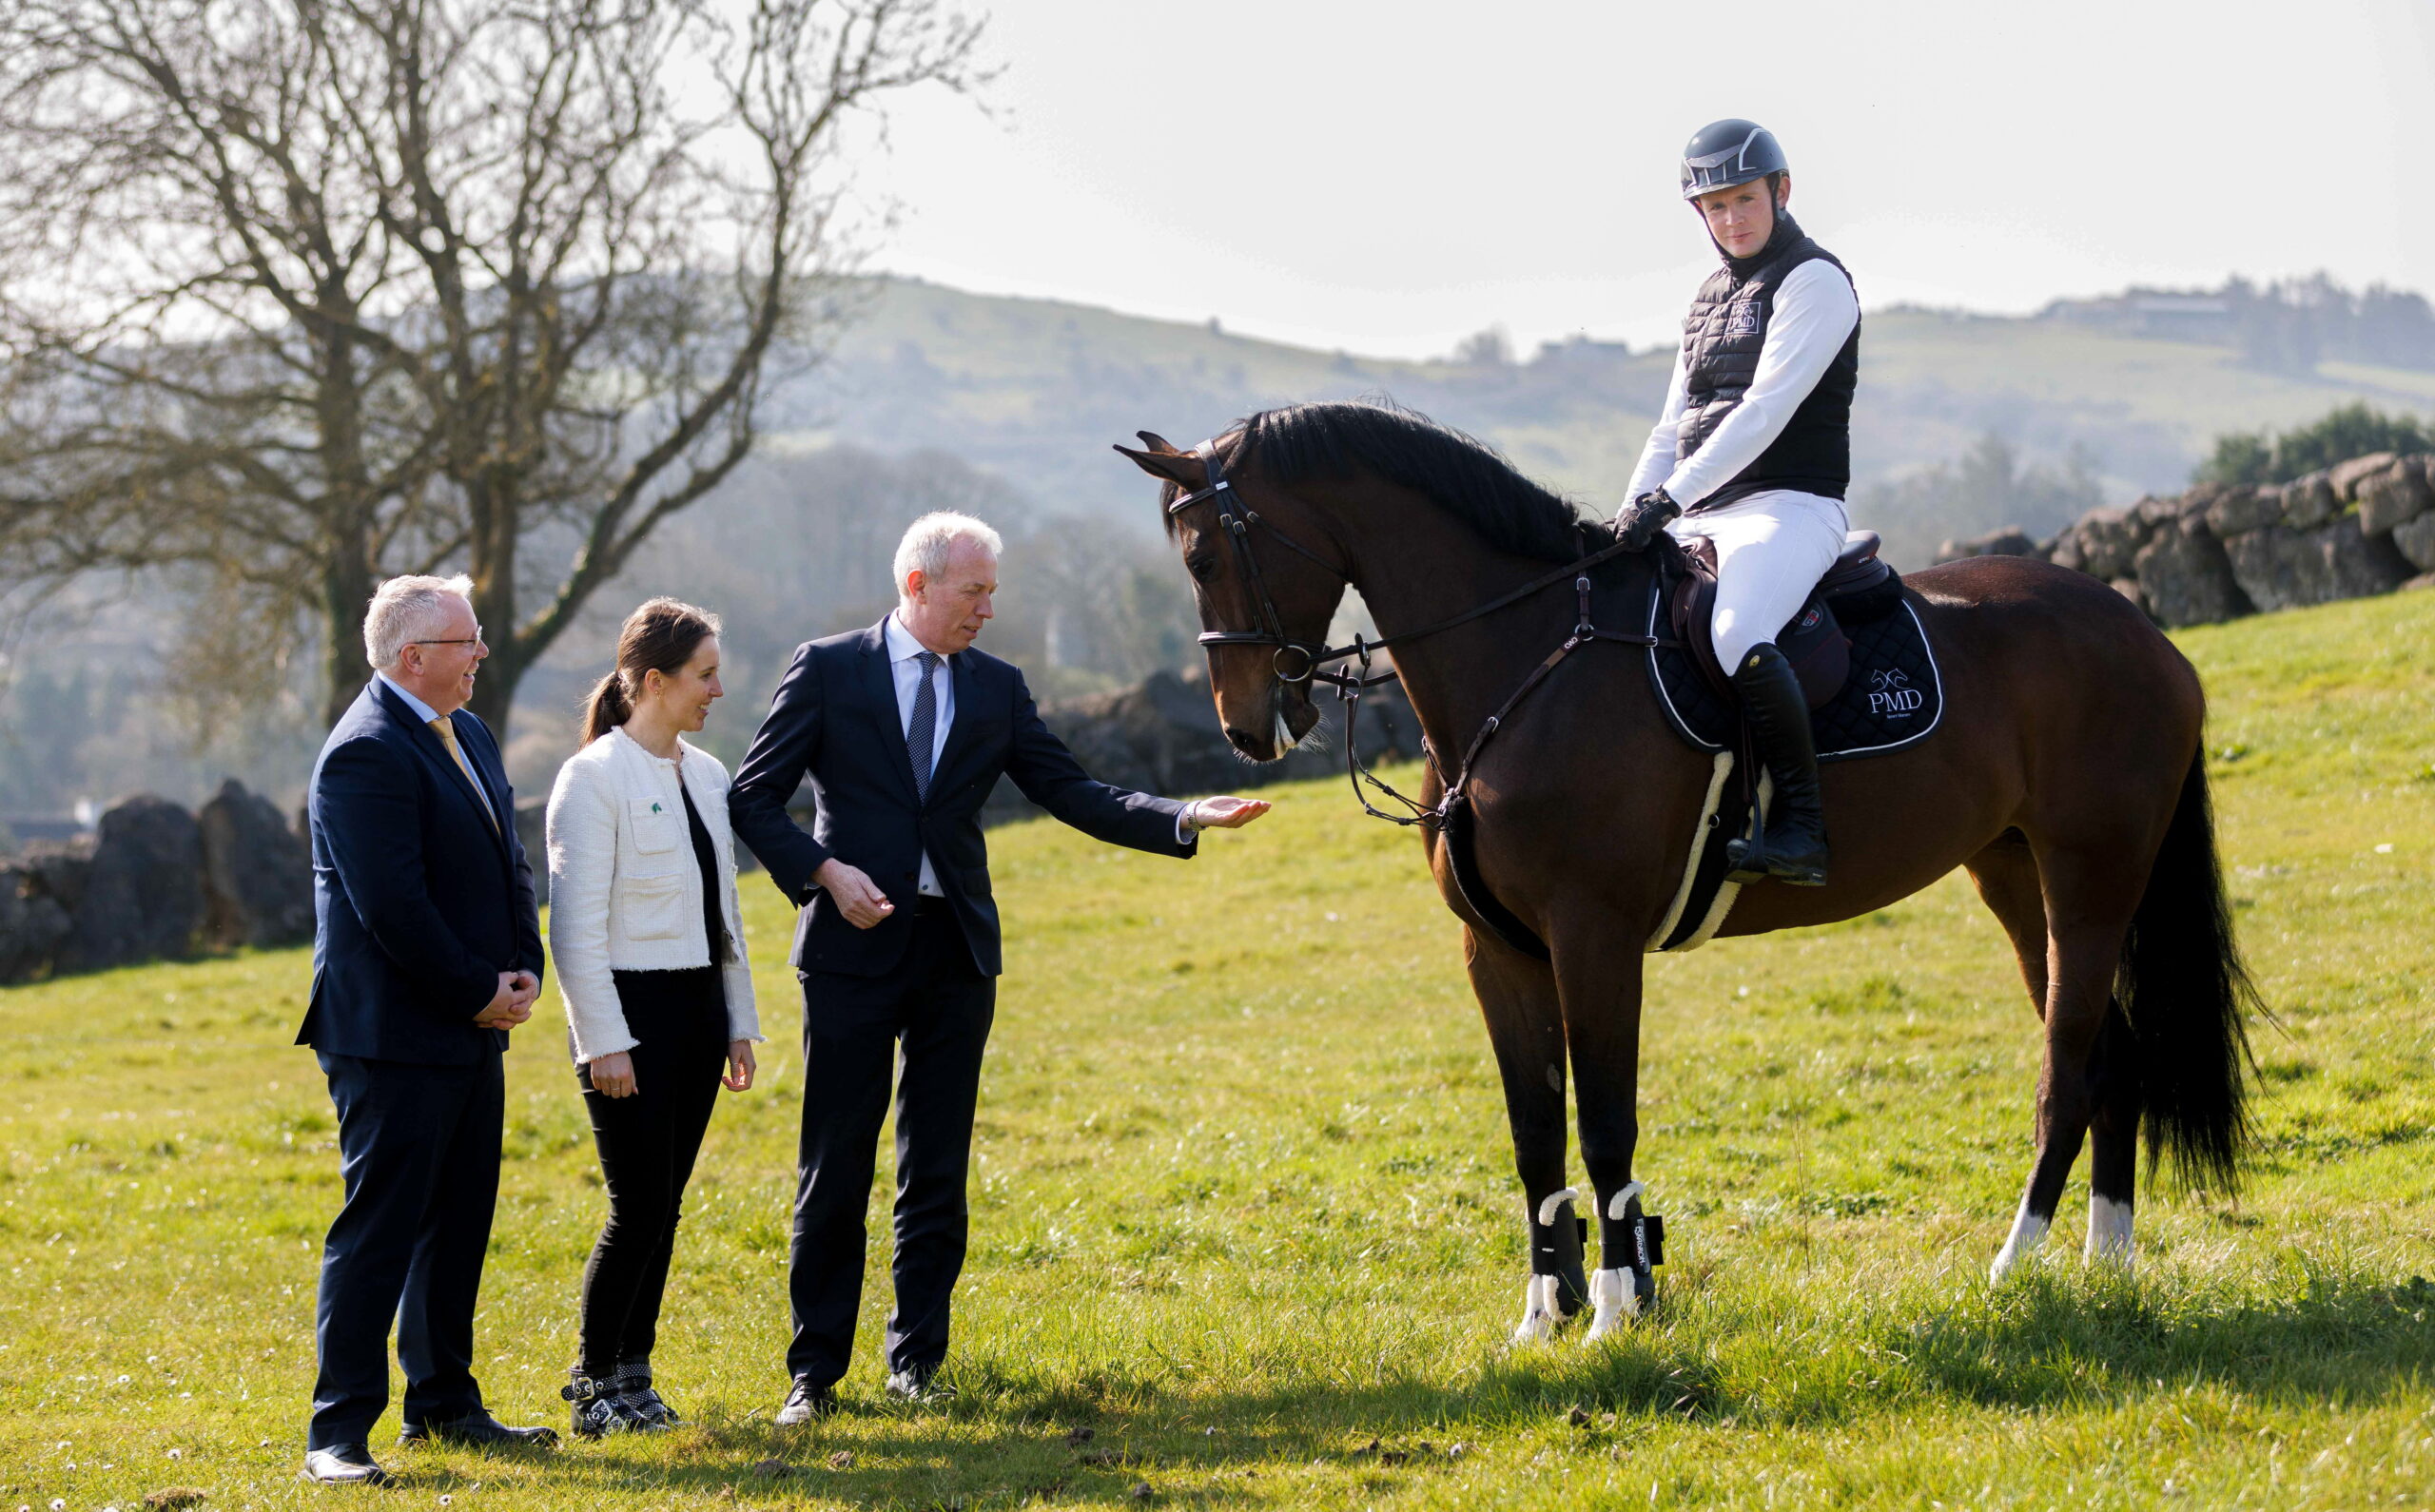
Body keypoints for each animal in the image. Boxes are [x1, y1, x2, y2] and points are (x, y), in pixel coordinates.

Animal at [1117, 401, 2258, 1341]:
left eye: (1208, 554)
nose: (1248, 729)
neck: (1527, 659)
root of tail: (2139, 627)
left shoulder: (1594, 938)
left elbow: (1603, 1126)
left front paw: (1615, 1312)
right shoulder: (1498, 953)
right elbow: (1534, 1134)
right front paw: (1540, 1318)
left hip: (2091, 873)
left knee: (2068, 1065)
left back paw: (2013, 1266)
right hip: (2014, 873)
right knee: (2109, 1053)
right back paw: (2105, 1265)